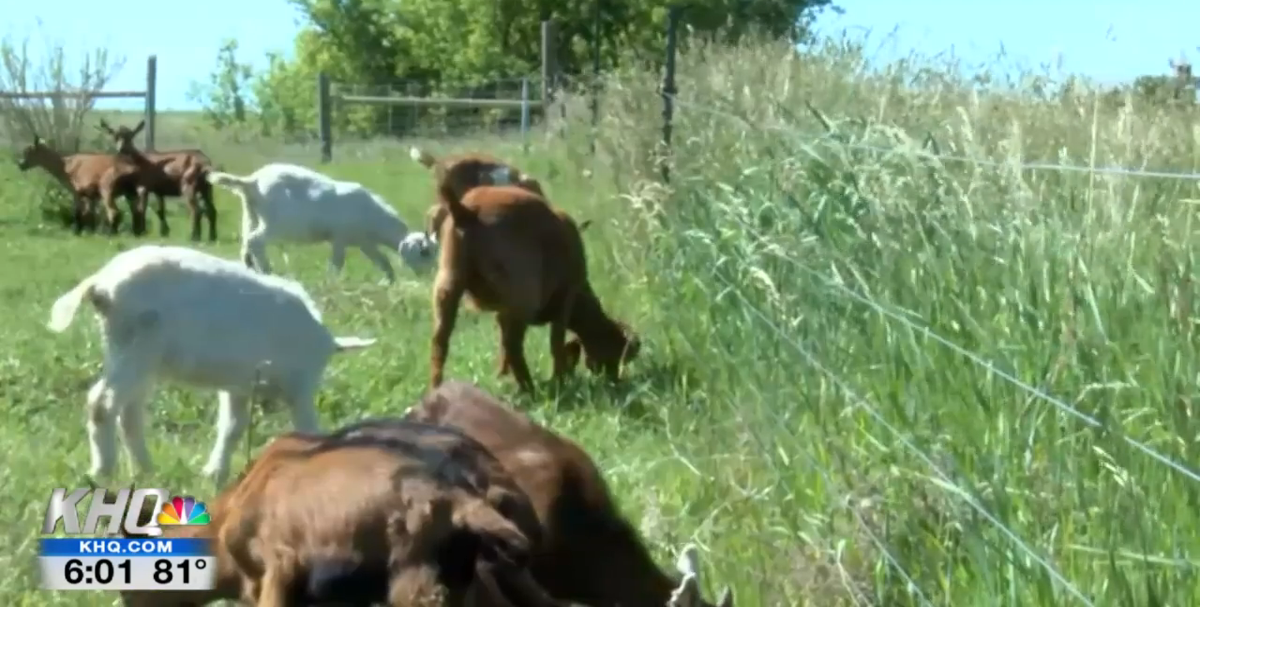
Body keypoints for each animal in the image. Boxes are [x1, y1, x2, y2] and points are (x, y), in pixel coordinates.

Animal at [15, 135, 144, 236]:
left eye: (29, 152)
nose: (21, 165)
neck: (65, 166)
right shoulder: (91, 196)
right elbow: (90, 214)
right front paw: (91, 231)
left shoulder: (76, 192)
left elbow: (78, 213)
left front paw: (77, 232)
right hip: (130, 192)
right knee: (137, 211)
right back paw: (136, 233)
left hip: (107, 189)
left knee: (114, 212)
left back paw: (111, 234)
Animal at [46, 244, 378, 486]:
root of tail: (102, 283)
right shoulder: (300, 384)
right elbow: (307, 427)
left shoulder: (240, 385)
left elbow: (231, 427)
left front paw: (214, 474)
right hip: (138, 346)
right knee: (103, 403)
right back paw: (103, 471)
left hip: (134, 355)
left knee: (128, 412)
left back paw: (145, 470)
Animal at [205, 163, 434, 283]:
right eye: (424, 252)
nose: (429, 278)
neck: (372, 216)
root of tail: (252, 182)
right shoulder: (340, 238)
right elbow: (337, 263)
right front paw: (332, 283)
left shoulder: (364, 243)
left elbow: (383, 261)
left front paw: (389, 282)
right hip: (276, 223)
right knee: (256, 241)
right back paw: (268, 271)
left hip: (250, 214)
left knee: (246, 242)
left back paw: (251, 269)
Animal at [430, 180, 637, 393]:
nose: (614, 380)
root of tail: (466, 212)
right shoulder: (565, 297)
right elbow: (556, 343)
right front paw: (560, 379)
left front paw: (502, 376)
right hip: (523, 291)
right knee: (512, 344)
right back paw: (528, 389)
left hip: (447, 283)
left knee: (440, 341)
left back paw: (436, 388)